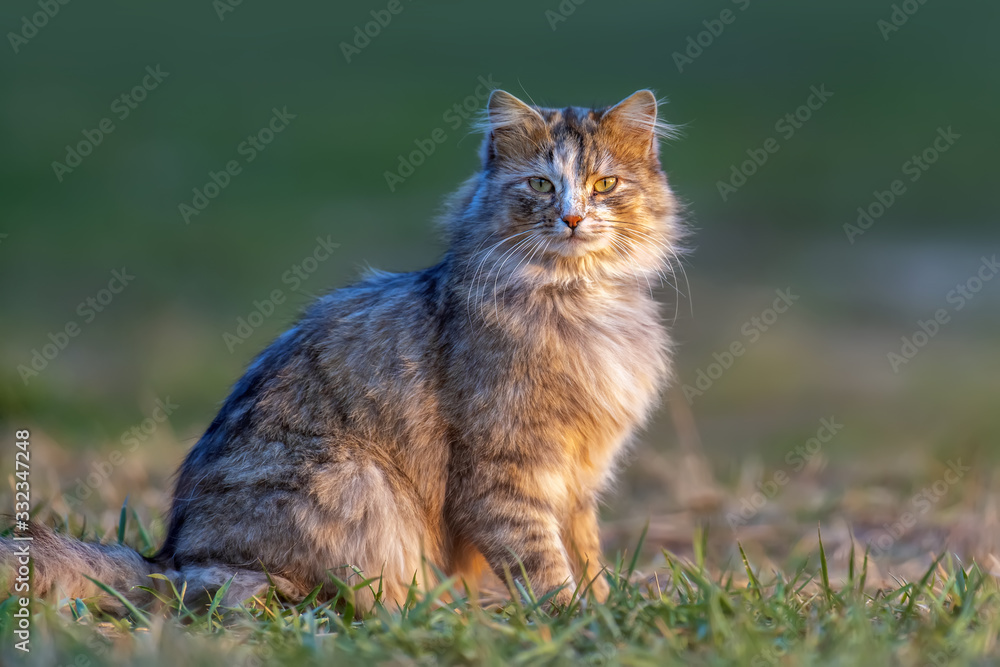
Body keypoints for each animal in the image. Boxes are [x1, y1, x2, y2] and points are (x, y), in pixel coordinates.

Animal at [0, 90, 684, 616]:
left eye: (604, 184)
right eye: (542, 184)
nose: (571, 218)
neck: (581, 304)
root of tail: (168, 556)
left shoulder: (579, 477)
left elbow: (585, 552)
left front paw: (605, 608)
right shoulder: (505, 466)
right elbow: (542, 562)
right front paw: (572, 620)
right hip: (353, 481)